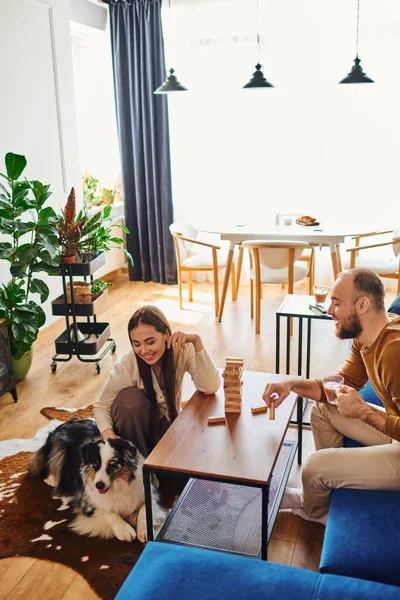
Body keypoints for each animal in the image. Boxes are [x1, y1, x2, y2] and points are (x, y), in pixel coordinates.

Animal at [30, 420, 166, 540]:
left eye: (112, 464)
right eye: (95, 464)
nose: (99, 485)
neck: (117, 485)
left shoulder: (147, 493)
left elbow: (144, 510)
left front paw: (144, 531)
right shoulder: (88, 503)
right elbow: (109, 512)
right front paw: (125, 530)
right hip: (59, 448)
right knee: (44, 465)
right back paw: (52, 479)